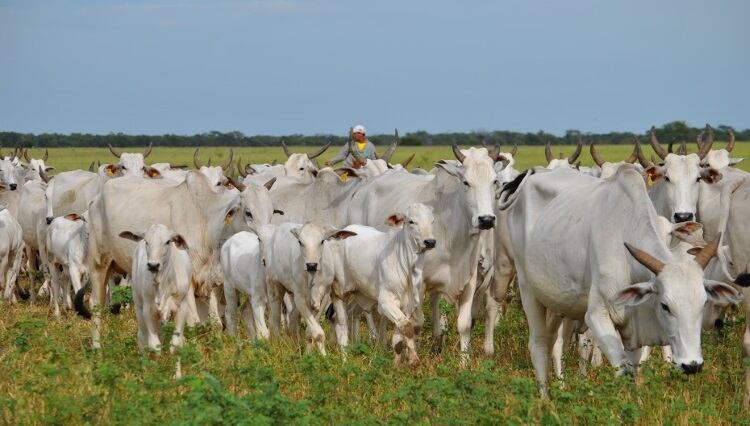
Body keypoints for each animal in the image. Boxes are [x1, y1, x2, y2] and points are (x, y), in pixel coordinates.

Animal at [500, 165, 741, 397]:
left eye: (703, 303)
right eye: (665, 306)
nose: (692, 365)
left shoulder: (634, 329)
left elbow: (636, 371)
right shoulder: (597, 316)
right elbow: (622, 370)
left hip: (558, 303)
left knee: (554, 343)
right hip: (528, 289)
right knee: (539, 346)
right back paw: (545, 400)